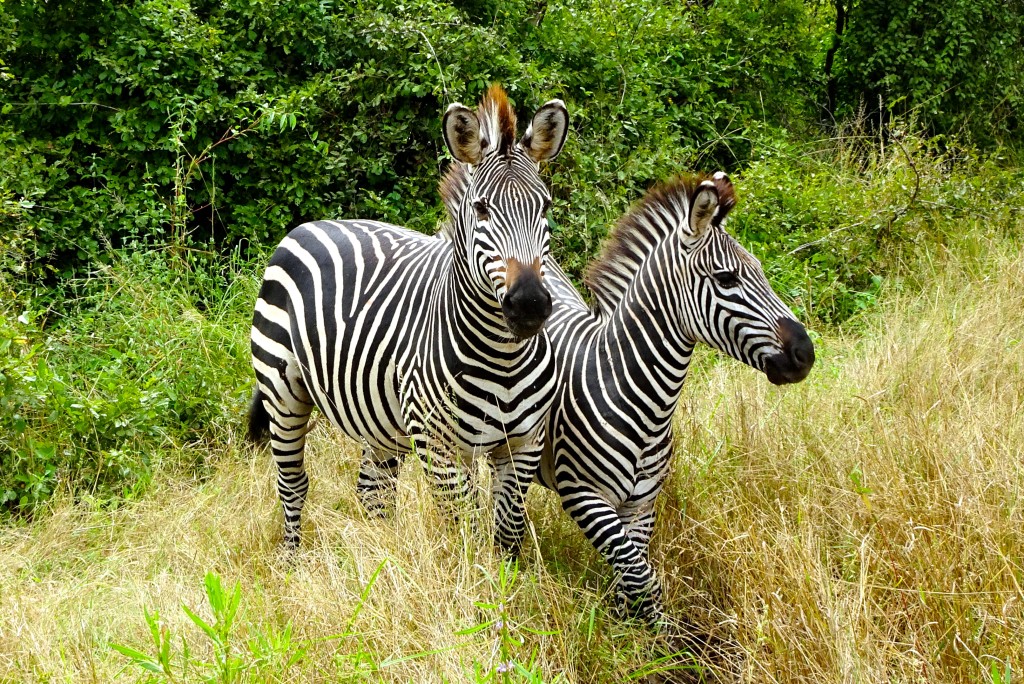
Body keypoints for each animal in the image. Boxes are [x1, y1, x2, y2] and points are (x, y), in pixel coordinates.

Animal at [244, 87, 573, 557]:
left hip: (379, 417)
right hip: (281, 389)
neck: (504, 357)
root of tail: (307, 225)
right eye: (481, 209)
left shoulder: (524, 444)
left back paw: (379, 555)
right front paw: (469, 576)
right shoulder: (440, 448)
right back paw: (292, 558)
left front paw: (503, 575)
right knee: (293, 483)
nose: (528, 304)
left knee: (373, 490)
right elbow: (467, 532)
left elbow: (506, 534)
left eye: (544, 206)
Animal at [536, 172, 815, 626]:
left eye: (760, 271)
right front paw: (655, 640)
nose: (805, 354)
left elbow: (631, 577)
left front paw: (629, 632)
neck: (647, 405)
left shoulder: (641, 504)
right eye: (726, 279)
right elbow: (644, 580)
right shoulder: (582, 494)